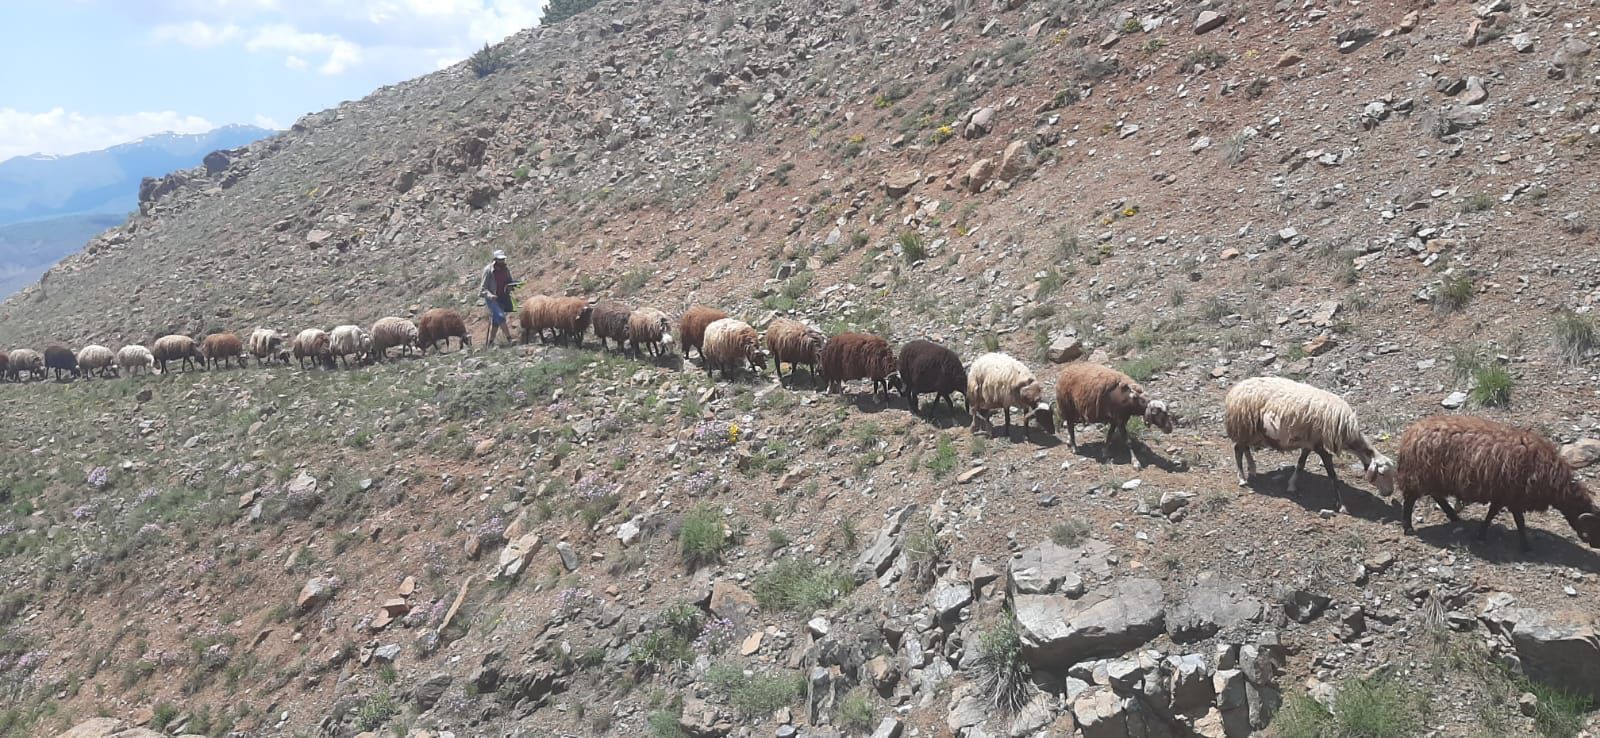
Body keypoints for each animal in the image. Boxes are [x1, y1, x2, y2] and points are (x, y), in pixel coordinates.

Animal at [1056, 361, 1184, 451]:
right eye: (1155, 413)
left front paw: (1105, 451)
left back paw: (1069, 442)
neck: (1133, 399)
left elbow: (1110, 436)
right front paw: (1136, 463)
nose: (1169, 428)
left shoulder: (1116, 419)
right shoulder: (1120, 420)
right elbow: (1127, 442)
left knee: (1070, 425)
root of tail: (1064, 371)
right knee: (1070, 427)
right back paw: (1074, 447)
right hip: (1067, 407)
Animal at [1216, 376, 1395, 509]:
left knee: (1245, 448)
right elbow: (1332, 474)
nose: (1389, 493)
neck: (1346, 432)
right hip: (1243, 425)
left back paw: (1252, 469)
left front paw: (1291, 485)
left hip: (1252, 431)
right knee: (1237, 449)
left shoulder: (1309, 444)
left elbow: (1300, 465)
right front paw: (1341, 505)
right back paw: (1242, 478)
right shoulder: (1320, 447)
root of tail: (1235, 389)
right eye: (1381, 474)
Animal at [1395, 413, 1593, 550]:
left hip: (1432, 477)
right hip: (1417, 476)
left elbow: (1495, 515)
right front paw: (1525, 546)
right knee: (1410, 500)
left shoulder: (1505, 495)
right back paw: (1408, 528)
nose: (1595, 545)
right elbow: (1517, 520)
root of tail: (1409, 435)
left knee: (1436, 495)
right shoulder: (1511, 495)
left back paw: (1453, 516)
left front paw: (1482, 534)